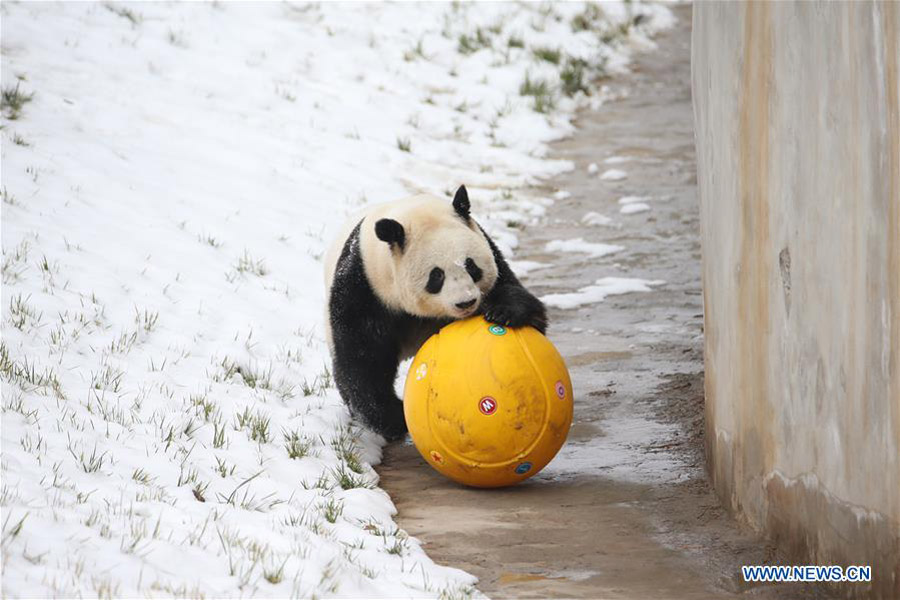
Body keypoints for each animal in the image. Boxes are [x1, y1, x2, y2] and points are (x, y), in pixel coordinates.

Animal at [326, 184, 548, 440]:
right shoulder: (365, 285)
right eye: (437, 276)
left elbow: (521, 302)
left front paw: (503, 312)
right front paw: (395, 419)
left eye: (471, 266)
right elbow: (362, 356)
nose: (466, 302)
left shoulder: (491, 253)